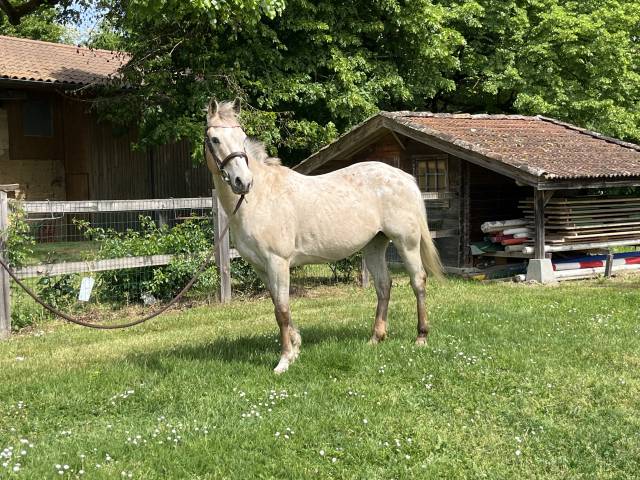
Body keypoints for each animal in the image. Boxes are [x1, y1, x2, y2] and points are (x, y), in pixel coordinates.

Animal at [204, 99, 442, 373]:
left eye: (242, 138)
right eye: (215, 139)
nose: (242, 182)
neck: (260, 198)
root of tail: (405, 177)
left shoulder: (278, 262)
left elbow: (282, 310)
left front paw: (284, 360)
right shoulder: (261, 267)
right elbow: (278, 306)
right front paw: (296, 346)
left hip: (407, 242)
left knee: (418, 281)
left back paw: (421, 337)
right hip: (374, 245)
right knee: (384, 285)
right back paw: (375, 338)